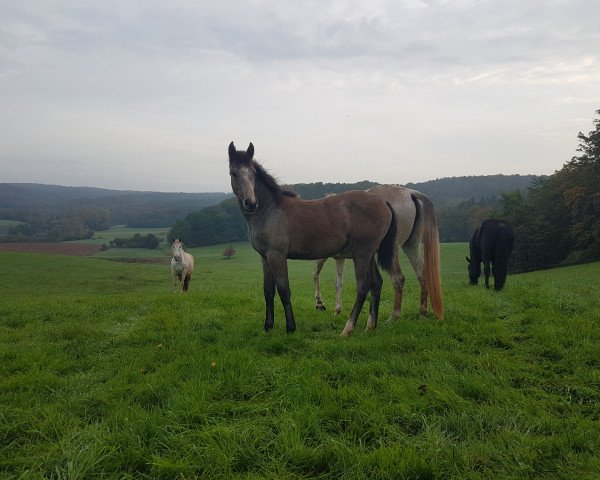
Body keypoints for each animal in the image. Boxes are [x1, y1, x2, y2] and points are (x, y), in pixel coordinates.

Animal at [230, 142, 398, 336]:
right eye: (234, 173)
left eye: (253, 174)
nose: (250, 203)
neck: (269, 209)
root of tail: (383, 202)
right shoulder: (265, 257)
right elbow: (268, 291)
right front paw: (268, 327)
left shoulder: (277, 255)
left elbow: (283, 290)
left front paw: (290, 327)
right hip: (368, 254)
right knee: (376, 283)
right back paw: (370, 326)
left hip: (361, 254)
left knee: (363, 287)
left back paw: (347, 329)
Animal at [314, 186, 446, 320]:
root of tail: (410, 193)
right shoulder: (340, 259)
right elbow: (339, 283)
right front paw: (338, 309)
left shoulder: (323, 256)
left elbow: (316, 275)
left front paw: (320, 303)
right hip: (411, 247)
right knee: (422, 276)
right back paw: (422, 314)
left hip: (393, 251)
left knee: (398, 278)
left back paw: (394, 316)